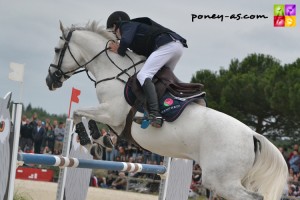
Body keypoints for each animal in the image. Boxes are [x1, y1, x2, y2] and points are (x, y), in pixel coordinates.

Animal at [45, 21, 288, 200]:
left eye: (57, 50)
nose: (50, 81)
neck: (112, 70)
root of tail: (253, 135)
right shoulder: (112, 119)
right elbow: (87, 117)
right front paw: (100, 140)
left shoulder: (112, 113)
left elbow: (78, 112)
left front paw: (89, 140)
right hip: (236, 179)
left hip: (221, 180)